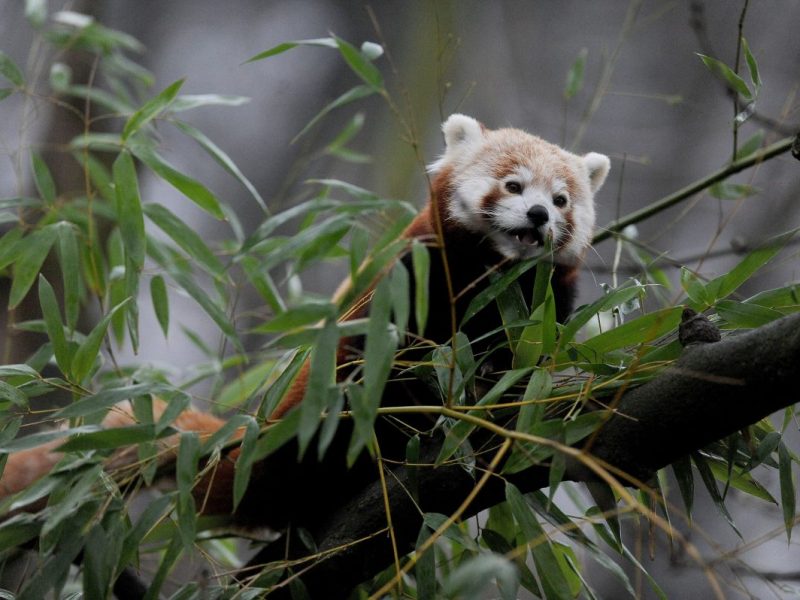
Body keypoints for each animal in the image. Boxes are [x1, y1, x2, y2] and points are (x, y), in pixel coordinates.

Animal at [0, 115, 608, 532]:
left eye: (561, 200)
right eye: (513, 186)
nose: (539, 215)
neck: (497, 277)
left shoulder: (543, 302)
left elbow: (524, 358)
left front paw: (504, 393)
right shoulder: (414, 277)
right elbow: (399, 357)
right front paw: (440, 401)